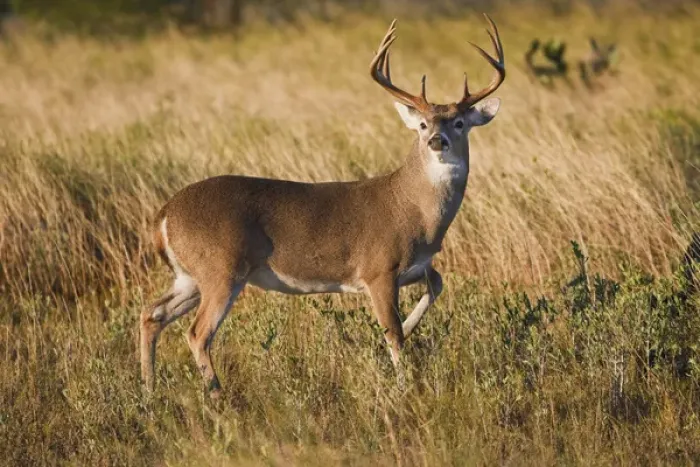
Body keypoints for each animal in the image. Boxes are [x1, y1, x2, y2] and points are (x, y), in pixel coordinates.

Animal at [140, 14, 505, 398]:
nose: (437, 140)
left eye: (459, 122)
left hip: (189, 276)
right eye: (422, 124)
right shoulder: (378, 268)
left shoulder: (416, 267)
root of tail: (164, 216)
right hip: (220, 270)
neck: (415, 211)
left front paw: (403, 331)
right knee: (197, 333)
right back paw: (216, 396)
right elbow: (393, 333)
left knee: (152, 314)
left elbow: (436, 285)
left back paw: (149, 391)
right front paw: (405, 387)